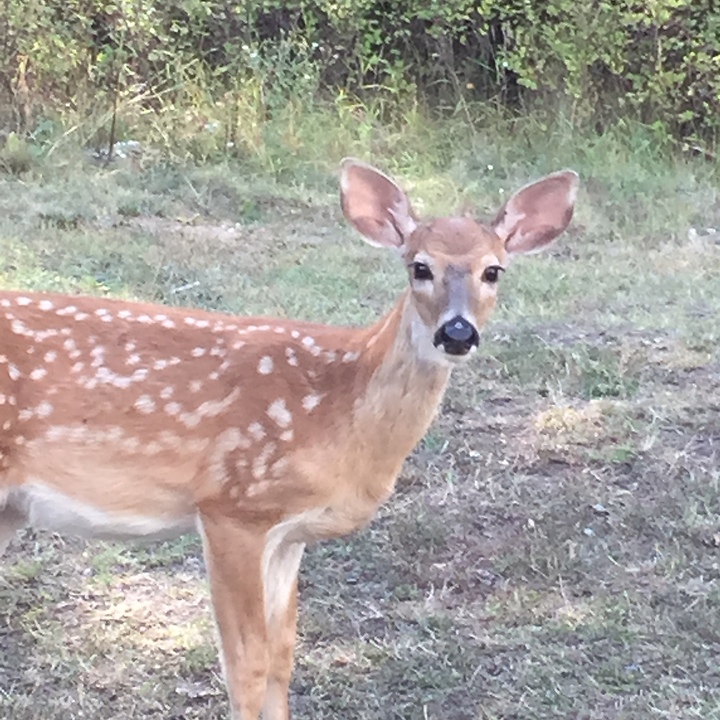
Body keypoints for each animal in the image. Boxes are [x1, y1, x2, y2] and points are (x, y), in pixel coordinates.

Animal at [0, 160, 580, 716]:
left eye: (493, 270)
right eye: (420, 266)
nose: (457, 333)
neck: (339, 410)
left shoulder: (289, 533)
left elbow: (283, 656)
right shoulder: (232, 506)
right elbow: (246, 665)